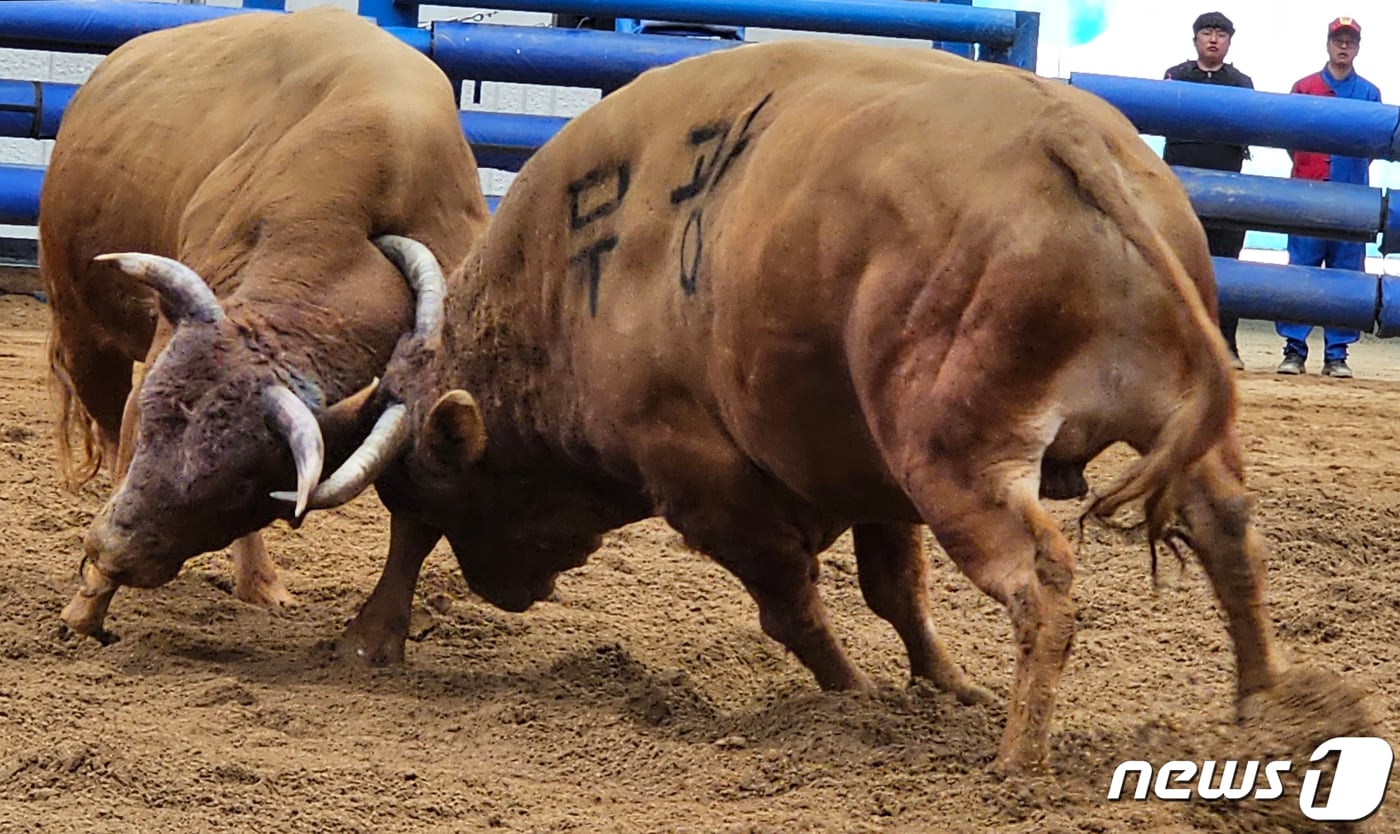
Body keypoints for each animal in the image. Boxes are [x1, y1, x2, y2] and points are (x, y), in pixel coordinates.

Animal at [43, 6, 490, 640]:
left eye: (240, 488)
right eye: (152, 424)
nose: (109, 549)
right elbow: (124, 443)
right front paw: (86, 609)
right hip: (83, 330)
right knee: (103, 417)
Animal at [301, 42, 1282, 778]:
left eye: (457, 495)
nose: (507, 591)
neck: (568, 287)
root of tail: (1067, 138)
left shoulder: (709, 487)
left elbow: (793, 606)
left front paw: (857, 696)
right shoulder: (872, 477)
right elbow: (895, 592)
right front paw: (942, 686)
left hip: (957, 461)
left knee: (1041, 584)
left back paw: (1019, 762)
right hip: (1168, 423)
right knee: (1229, 531)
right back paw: (1263, 710)